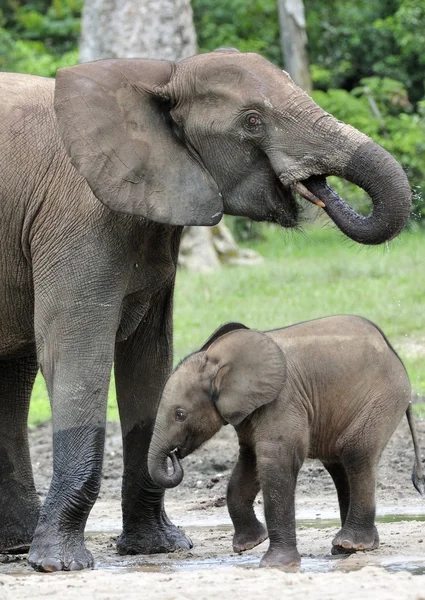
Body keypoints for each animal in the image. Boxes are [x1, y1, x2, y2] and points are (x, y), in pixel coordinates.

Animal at [147, 314, 422, 568]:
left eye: (180, 414)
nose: (174, 454)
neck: (219, 361)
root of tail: (392, 351)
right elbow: (249, 463)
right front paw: (249, 545)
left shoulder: (283, 400)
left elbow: (276, 462)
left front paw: (276, 565)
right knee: (339, 465)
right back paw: (347, 549)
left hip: (383, 399)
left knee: (356, 454)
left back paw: (350, 544)